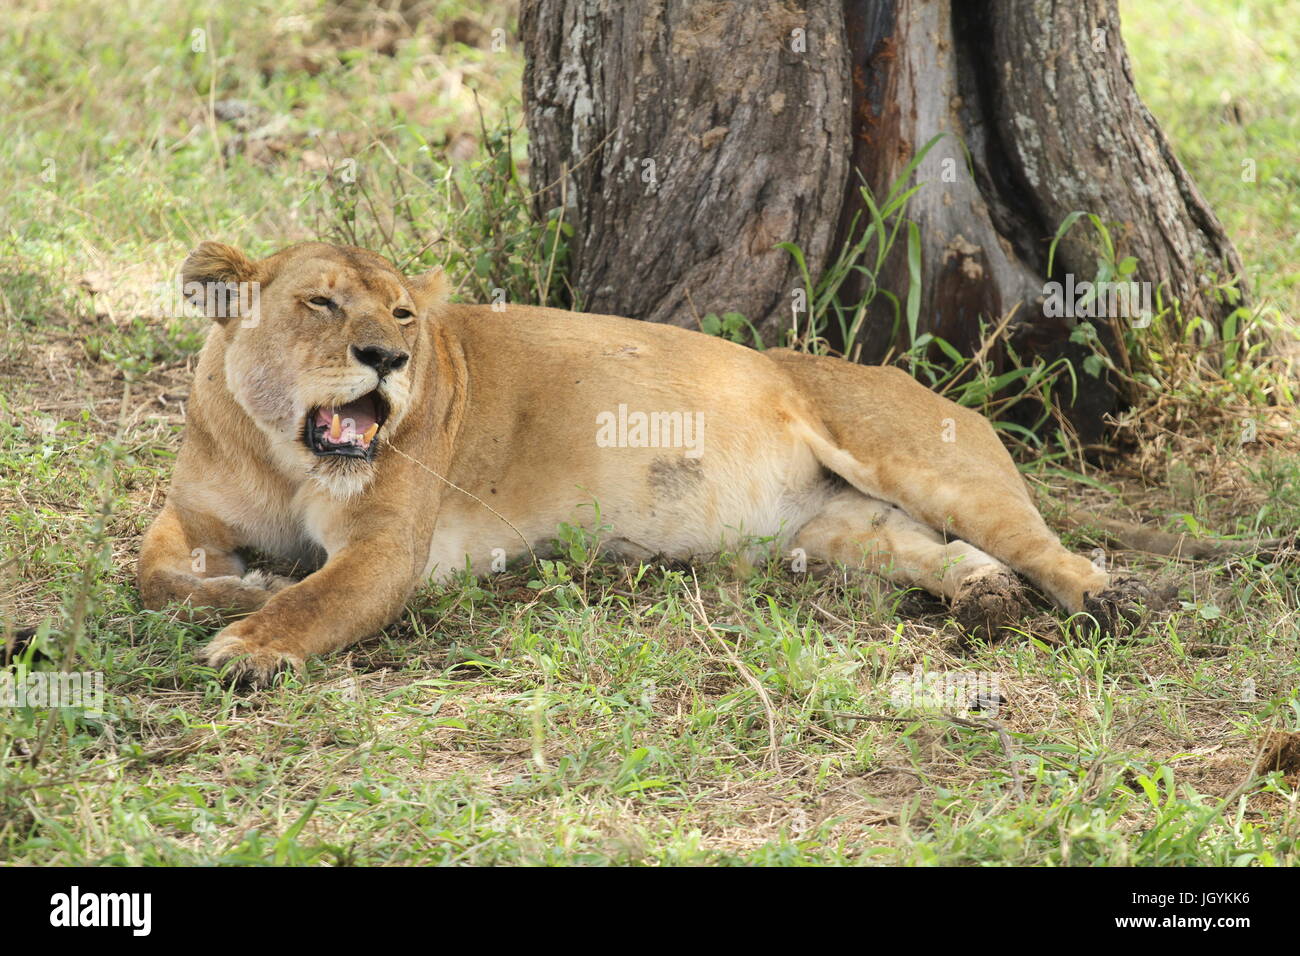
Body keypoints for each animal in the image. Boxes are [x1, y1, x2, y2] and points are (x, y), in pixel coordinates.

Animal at [139, 240, 1165, 683]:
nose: (387, 359)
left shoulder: (391, 547)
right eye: (318, 303)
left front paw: (249, 643)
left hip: (917, 462)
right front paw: (234, 592)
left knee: (1037, 544)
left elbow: (317, 599)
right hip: (839, 529)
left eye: (400, 315)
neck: (282, 454)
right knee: (942, 551)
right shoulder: (192, 512)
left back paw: (1106, 601)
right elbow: (152, 575)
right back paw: (985, 599)